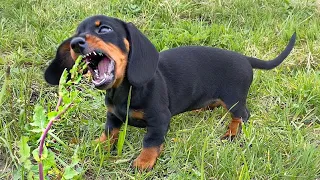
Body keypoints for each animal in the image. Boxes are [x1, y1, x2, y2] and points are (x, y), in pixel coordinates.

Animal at [43, 14, 296, 169]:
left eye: (104, 28)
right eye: (77, 32)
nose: (75, 43)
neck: (125, 90)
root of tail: (245, 58)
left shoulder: (159, 119)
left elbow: (151, 142)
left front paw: (144, 162)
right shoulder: (112, 116)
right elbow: (109, 132)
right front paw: (97, 145)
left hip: (234, 99)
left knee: (242, 115)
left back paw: (232, 133)